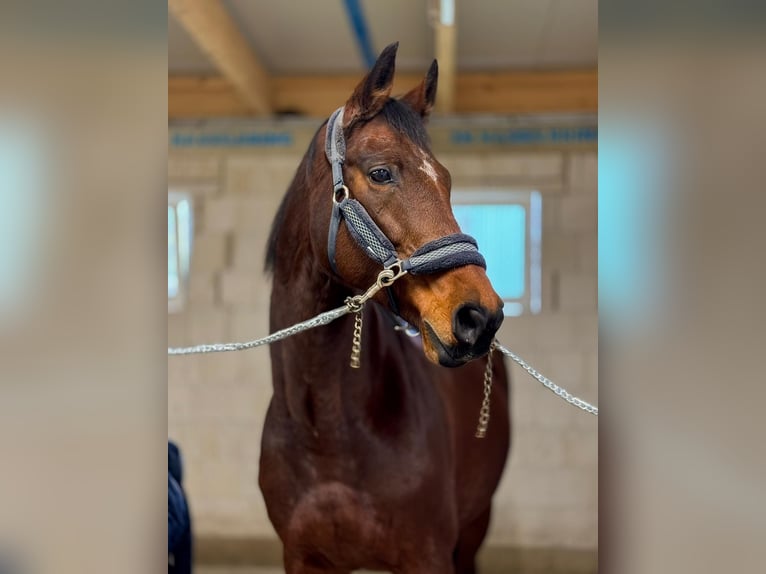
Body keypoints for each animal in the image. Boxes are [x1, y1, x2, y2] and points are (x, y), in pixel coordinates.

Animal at [260, 42, 512, 572]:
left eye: (447, 182)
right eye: (381, 173)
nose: (481, 316)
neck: (325, 433)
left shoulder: (428, 555)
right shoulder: (302, 558)